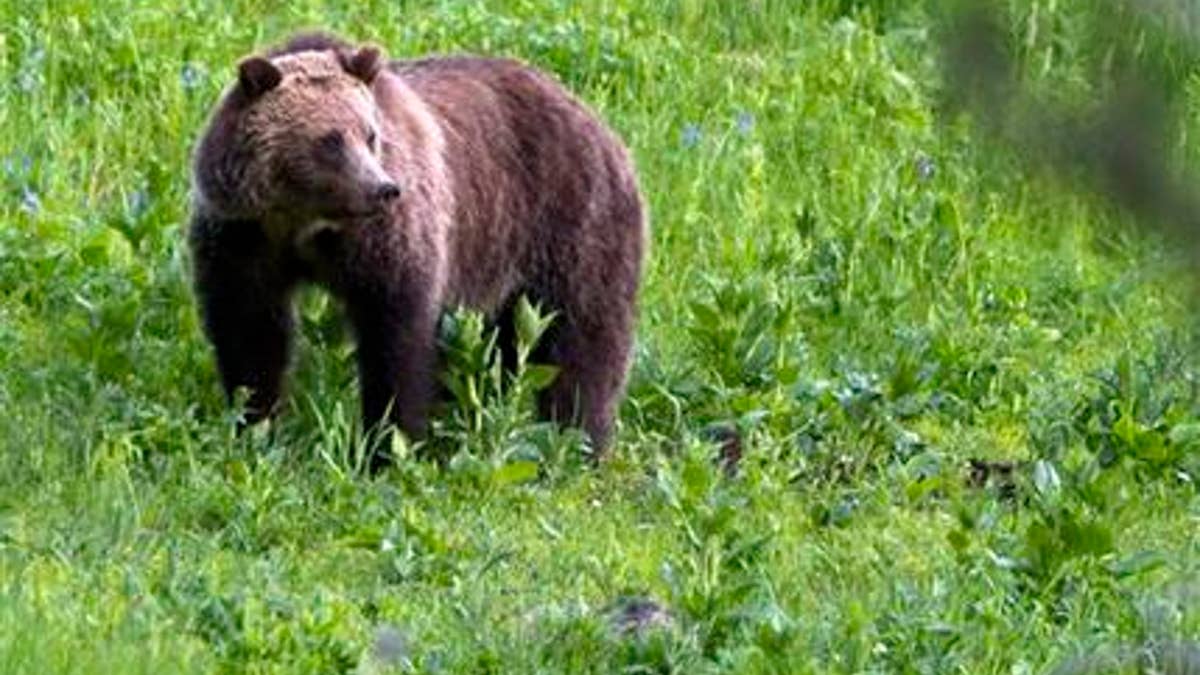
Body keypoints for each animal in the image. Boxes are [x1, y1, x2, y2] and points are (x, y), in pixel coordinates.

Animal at [187, 34, 648, 458]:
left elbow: (396, 337)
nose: (383, 189)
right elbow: (250, 331)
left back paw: (580, 441)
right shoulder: (243, 237)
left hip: (569, 224)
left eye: (370, 135)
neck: (304, 223)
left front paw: (388, 446)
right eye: (330, 141)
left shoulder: (387, 242)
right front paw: (254, 426)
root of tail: (597, 121)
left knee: (583, 340)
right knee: (508, 346)